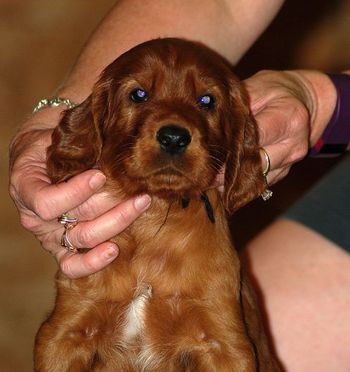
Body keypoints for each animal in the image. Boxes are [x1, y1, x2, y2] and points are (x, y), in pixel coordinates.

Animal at [34, 38, 278, 372]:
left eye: (206, 100)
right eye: (138, 95)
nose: (174, 137)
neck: (156, 211)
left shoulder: (224, 343)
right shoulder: (64, 333)